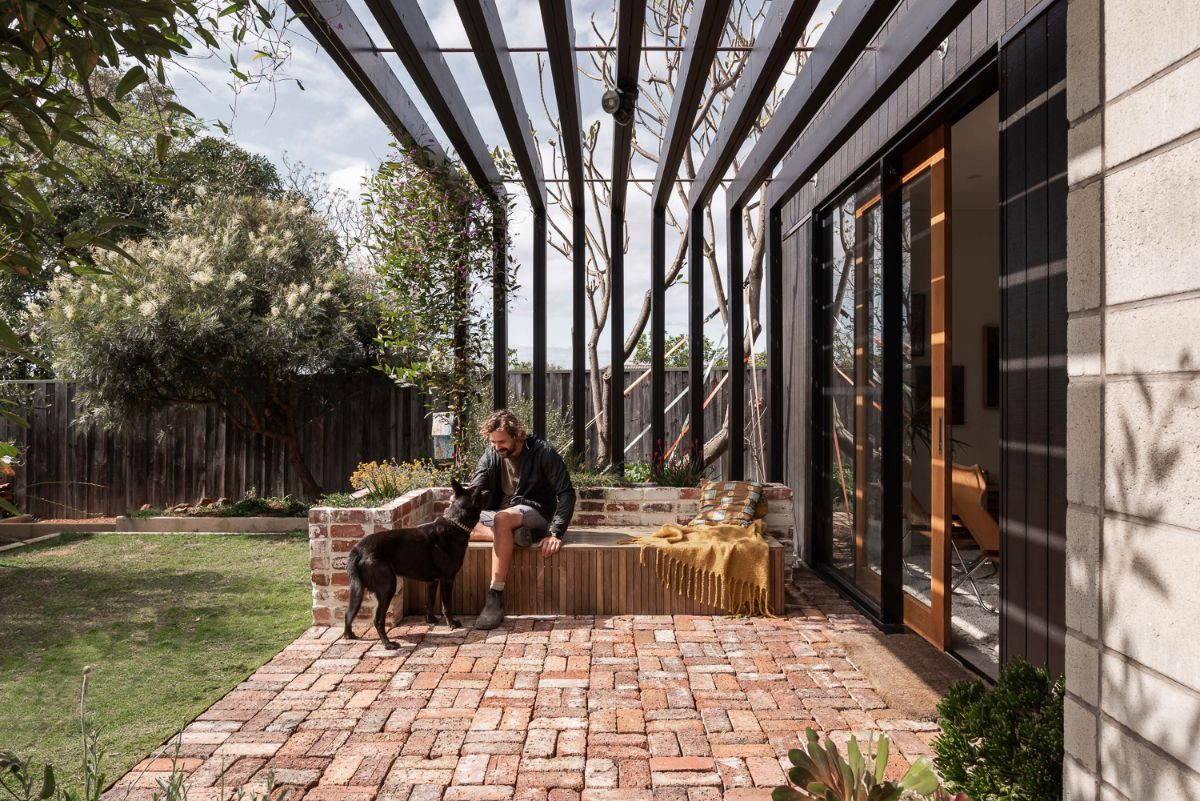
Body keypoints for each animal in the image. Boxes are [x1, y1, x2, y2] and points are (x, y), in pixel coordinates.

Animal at [343, 479, 482, 647]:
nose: (486, 488)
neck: (454, 524)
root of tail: (358, 549)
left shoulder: (433, 581)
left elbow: (430, 602)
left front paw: (430, 620)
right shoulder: (447, 579)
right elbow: (447, 605)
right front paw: (452, 624)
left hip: (357, 589)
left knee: (348, 613)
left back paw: (349, 635)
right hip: (387, 587)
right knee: (377, 620)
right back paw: (388, 644)